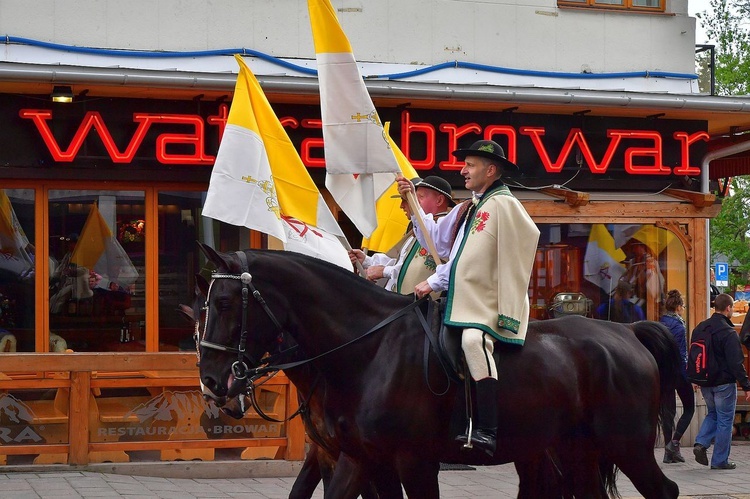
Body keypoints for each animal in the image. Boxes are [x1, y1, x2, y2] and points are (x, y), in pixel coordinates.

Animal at [197, 247, 684, 499]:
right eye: (205, 304)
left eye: (224, 302)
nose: (212, 382)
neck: (370, 351)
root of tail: (627, 332)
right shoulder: (359, 459)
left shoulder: (413, 461)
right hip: (575, 452)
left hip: (626, 446)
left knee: (664, 492)